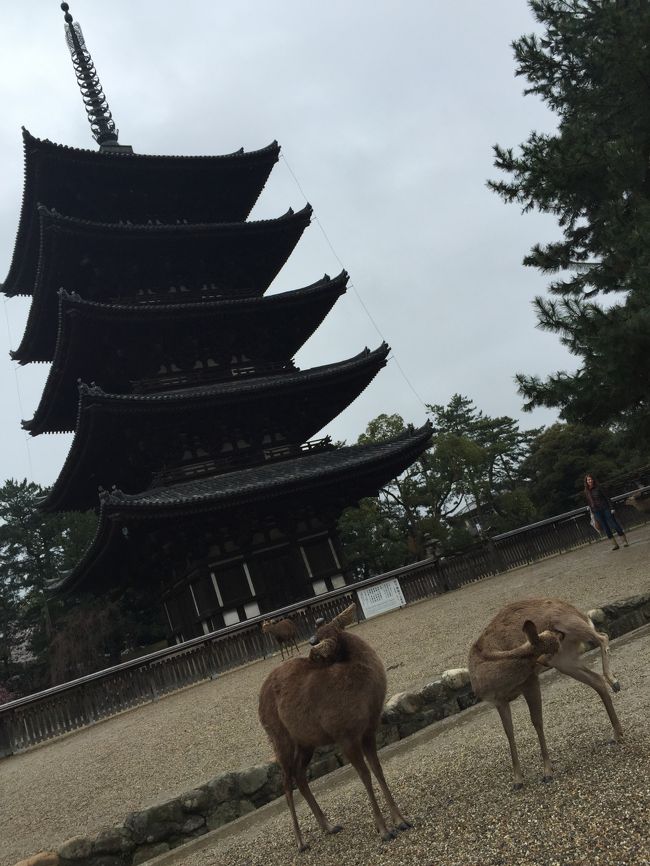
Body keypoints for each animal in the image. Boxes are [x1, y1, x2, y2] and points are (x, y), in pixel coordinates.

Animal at [258, 603, 411, 852]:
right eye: (316, 642)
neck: (366, 699)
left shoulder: (369, 730)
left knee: (299, 775)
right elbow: (364, 774)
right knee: (285, 781)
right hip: (279, 737)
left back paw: (328, 826)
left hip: (306, 743)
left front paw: (400, 820)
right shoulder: (344, 734)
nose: (310, 641)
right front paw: (383, 830)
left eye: (326, 632)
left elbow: (377, 769)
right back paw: (300, 842)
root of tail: (259, 699)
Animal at [468, 597, 623, 790]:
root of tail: (577, 611)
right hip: (564, 660)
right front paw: (517, 781)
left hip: (569, 623)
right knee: (596, 680)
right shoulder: (498, 701)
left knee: (603, 636)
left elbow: (537, 722)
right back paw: (616, 735)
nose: (559, 634)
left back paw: (614, 682)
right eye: (551, 636)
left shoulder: (530, 682)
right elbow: (509, 732)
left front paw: (547, 772)